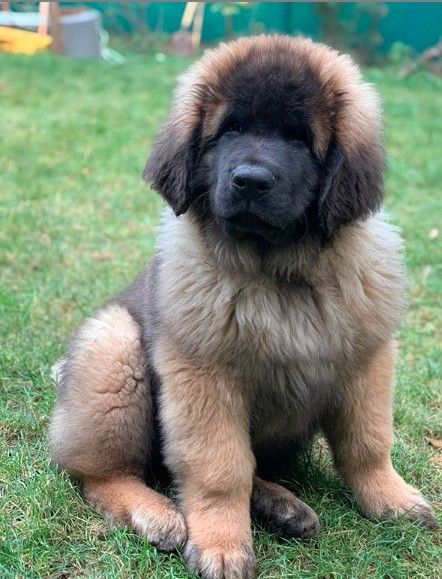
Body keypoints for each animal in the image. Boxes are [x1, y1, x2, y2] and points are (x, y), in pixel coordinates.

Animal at [48, 37, 436, 579]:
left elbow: (368, 444)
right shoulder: (204, 377)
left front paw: (390, 498)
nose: (250, 180)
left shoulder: (367, 359)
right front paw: (223, 544)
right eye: (229, 130)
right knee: (100, 476)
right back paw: (157, 513)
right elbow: (221, 468)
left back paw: (282, 506)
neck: (279, 272)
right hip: (113, 349)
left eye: (298, 139)